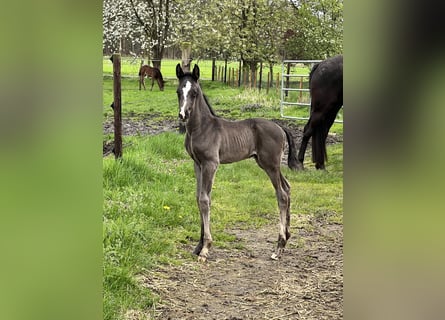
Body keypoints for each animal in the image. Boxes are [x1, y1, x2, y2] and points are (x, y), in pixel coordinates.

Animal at [175, 63, 296, 262]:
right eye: (178, 91)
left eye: (194, 92)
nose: (183, 115)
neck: (201, 128)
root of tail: (280, 127)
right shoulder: (197, 164)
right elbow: (198, 198)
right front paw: (198, 246)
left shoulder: (211, 164)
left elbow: (205, 200)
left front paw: (205, 248)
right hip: (270, 165)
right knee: (287, 187)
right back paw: (286, 239)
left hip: (270, 165)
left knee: (282, 195)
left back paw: (278, 247)